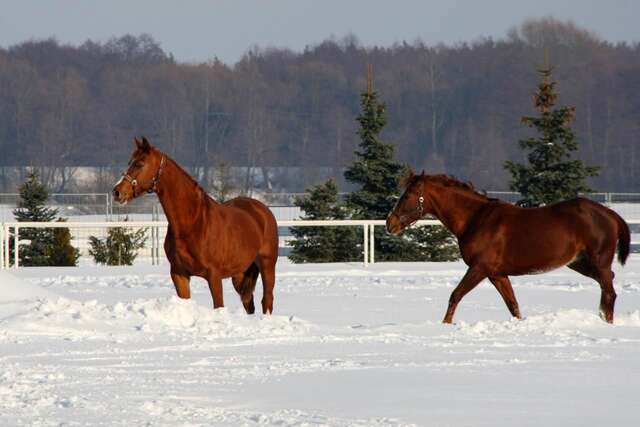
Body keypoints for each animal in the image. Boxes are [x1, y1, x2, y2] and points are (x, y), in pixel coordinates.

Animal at [112, 137, 278, 314]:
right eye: (130, 162)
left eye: (140, 164)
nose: (117, 192)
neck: (193, 222)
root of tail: (263, 210)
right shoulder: (179, 274)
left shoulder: (214, 275)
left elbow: (218, 305)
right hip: (240, 272)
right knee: (248, 302)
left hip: (267, 265)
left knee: (267, 299)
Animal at [384, 171, 632, 324]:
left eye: (408, 195)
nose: (390, 223)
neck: (475, 219)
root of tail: (610, 214)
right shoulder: (497, 274)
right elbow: (513, 305)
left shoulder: (479, 268)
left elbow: (455, 295)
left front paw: (445, 325)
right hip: (579, 263)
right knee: (606, 287)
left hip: (598, 261)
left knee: (610, 291)